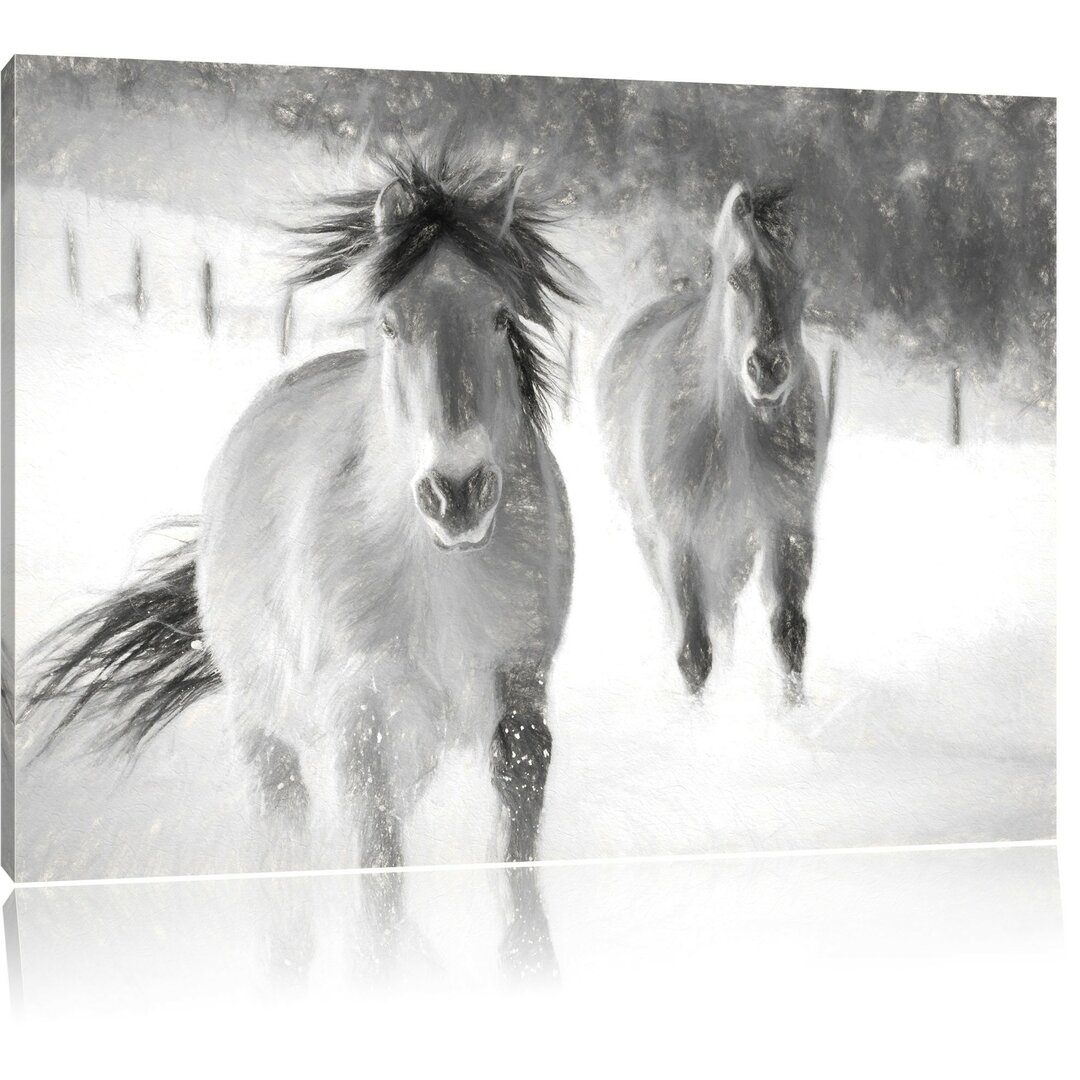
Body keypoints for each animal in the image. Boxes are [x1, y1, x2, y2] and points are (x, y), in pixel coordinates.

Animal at [23, 147, 583, 864]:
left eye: (501, 317)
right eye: (389, 323)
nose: (457, 494)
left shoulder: (520, 709)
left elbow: (517, 873)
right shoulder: (362, 725)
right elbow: (379, 879)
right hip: (267, 734)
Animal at [600, 181, 825, 704]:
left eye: (800, 281)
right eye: (737, 279)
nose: (768, 368)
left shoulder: (788, 524)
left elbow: (790, 632)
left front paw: (795, 716)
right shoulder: (679, 535)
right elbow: (693, 652)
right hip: (653, 535)